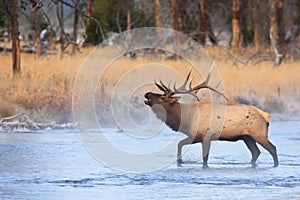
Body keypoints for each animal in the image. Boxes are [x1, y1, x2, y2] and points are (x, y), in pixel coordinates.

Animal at [144, 69, 278, 168]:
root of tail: (266, 115)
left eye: (162, 98)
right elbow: (180, 144)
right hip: (247, 137)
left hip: (259, 134)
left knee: (272, 149)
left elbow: (204, 158)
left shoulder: (206, 136)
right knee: (256, 152)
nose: (147, 93)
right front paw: (180, 161)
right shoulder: (196, 136)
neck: (186, 119)